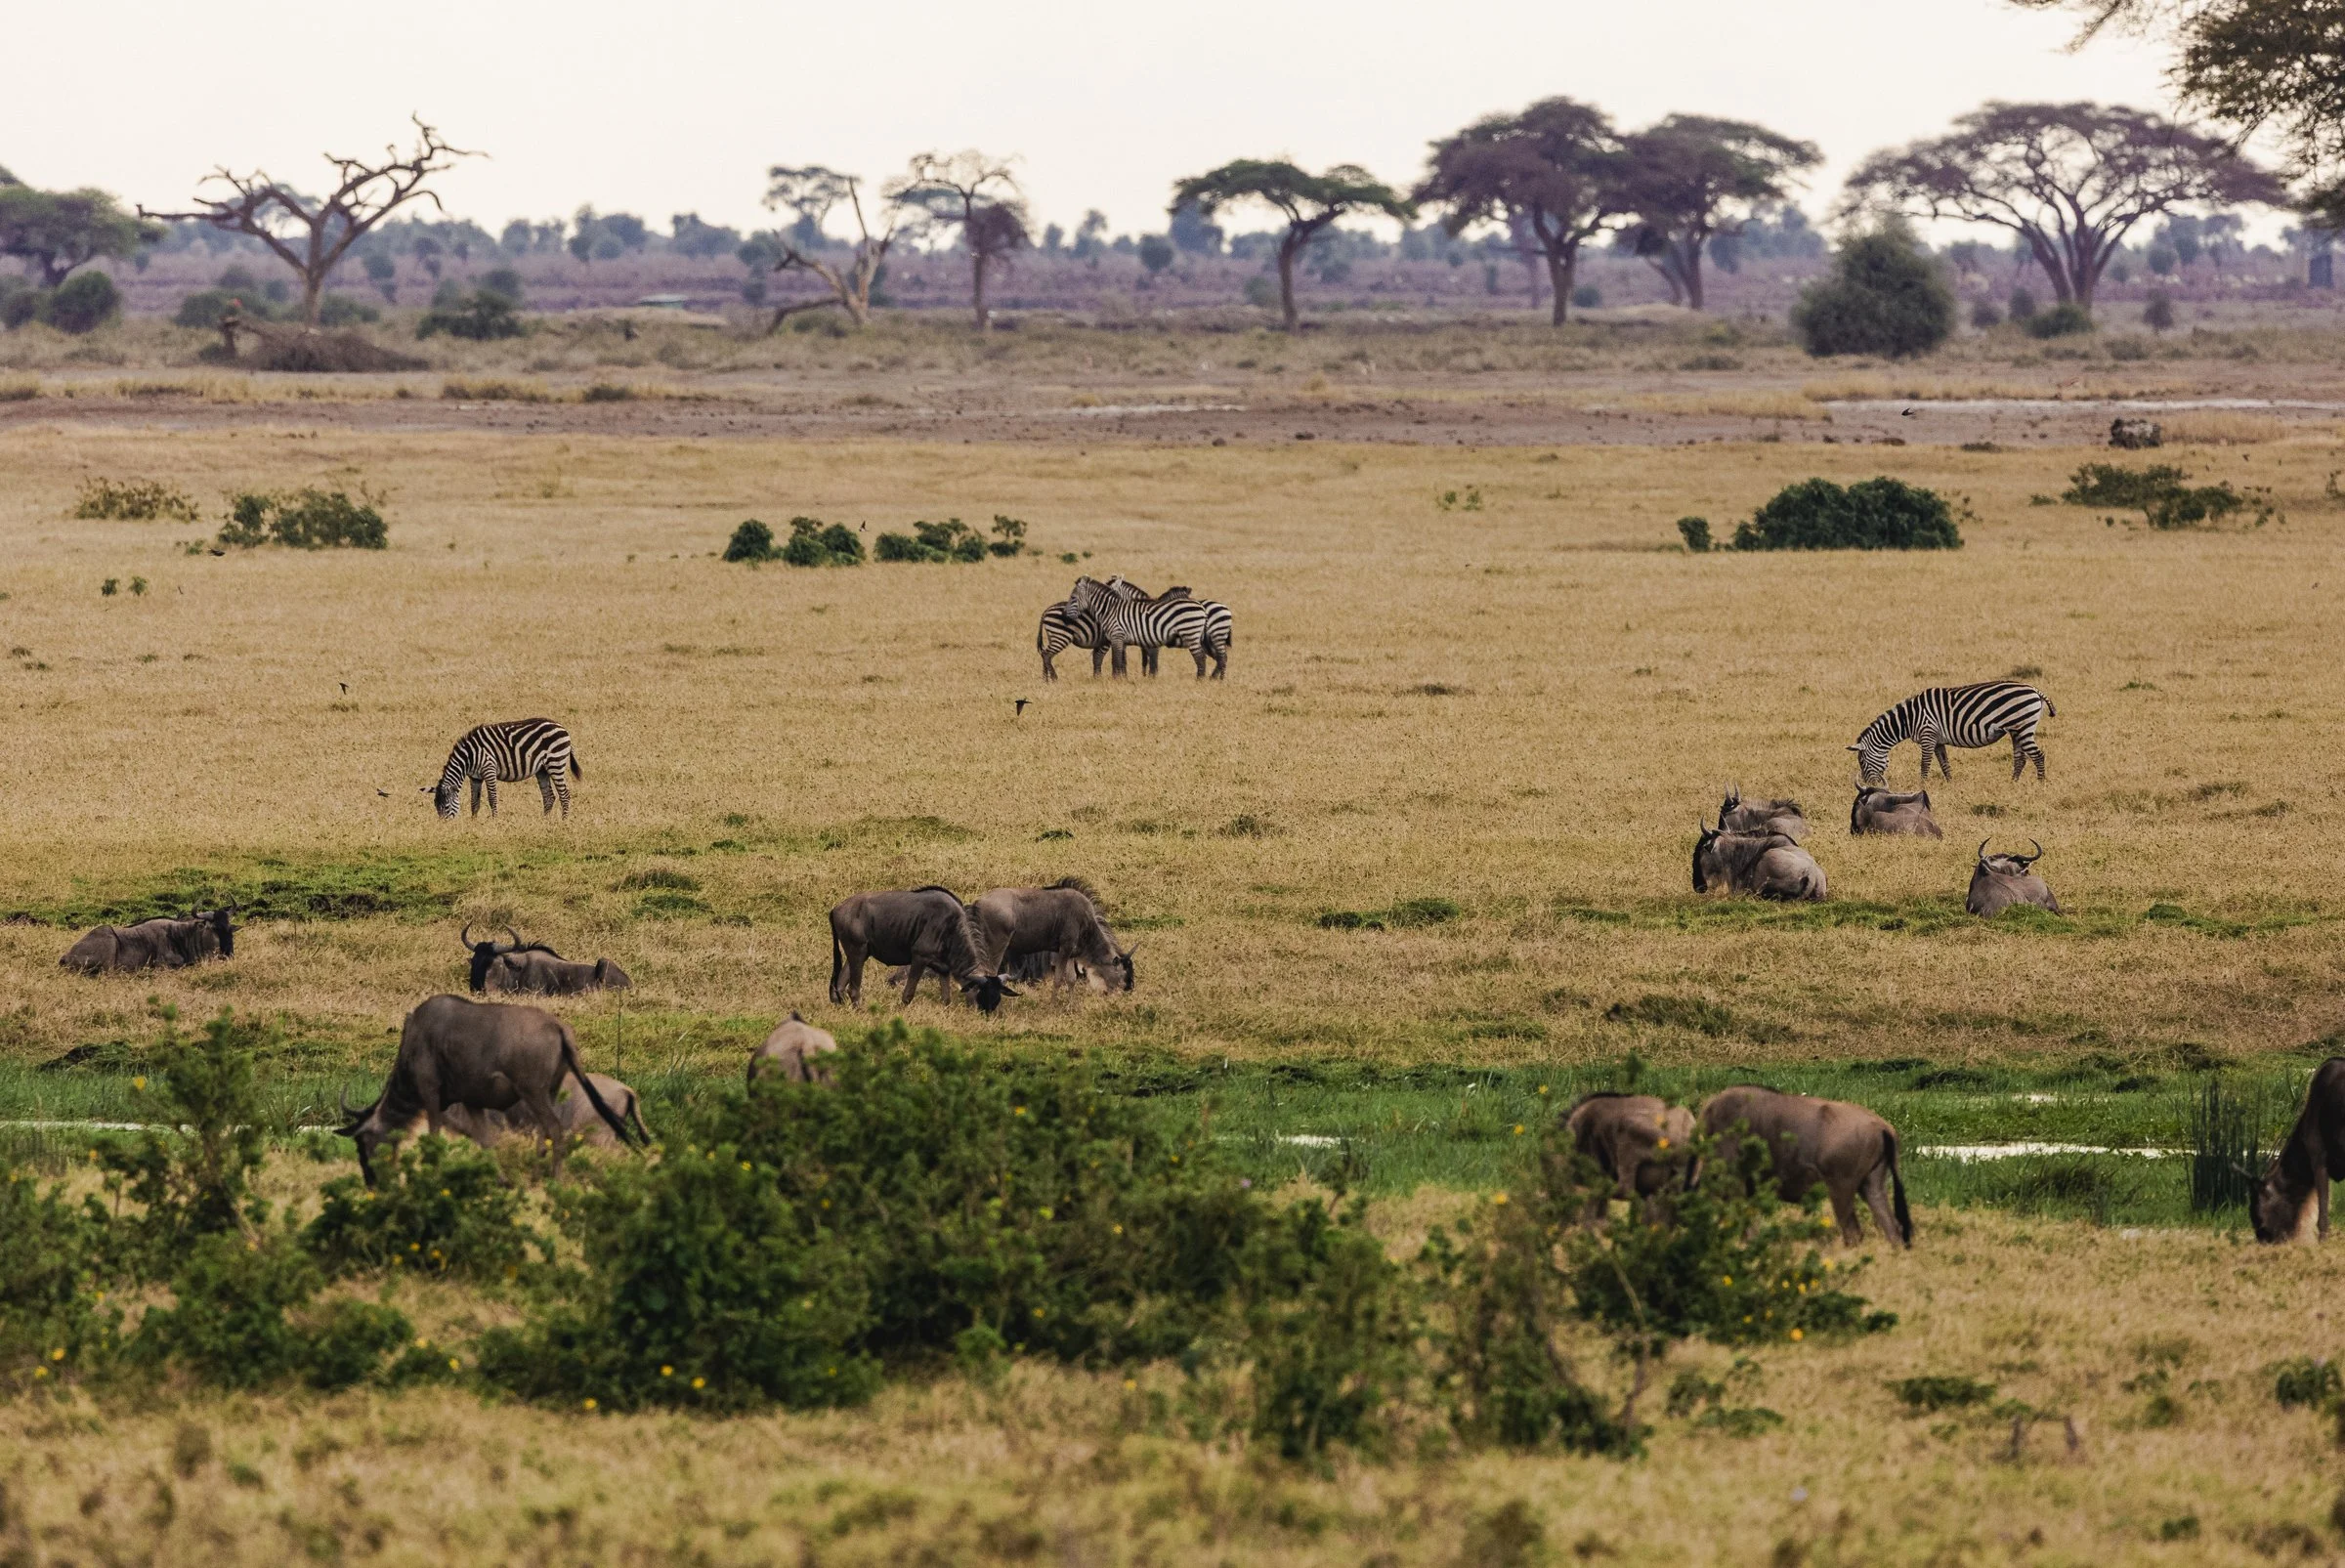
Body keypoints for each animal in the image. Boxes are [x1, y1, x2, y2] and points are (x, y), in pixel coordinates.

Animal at [425, 718, 581, 818]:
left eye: (445, 806)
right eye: (435, 806)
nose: (444, 826)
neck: (469, 756)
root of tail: (562, 727)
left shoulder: (489, 769)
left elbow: (492, 798)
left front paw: (495, 820)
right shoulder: (475, 777)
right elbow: (474, 801)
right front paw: (474, 821)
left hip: (556, 763)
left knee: (564, 795)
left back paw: (564, 821)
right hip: (542, 769)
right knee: (549, 797)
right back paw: (544, 821)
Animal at [1849, 682, 2056, 785]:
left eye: (1862, 762)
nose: (1870, 786)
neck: (1909, 718)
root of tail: (2034, 689)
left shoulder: (1928, 734)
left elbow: (1925, 763)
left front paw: (1922, 785)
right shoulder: (1937, 740)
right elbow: (1944, 763)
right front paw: (1950, 784)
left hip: (2023, 727)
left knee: (2038, 755)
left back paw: (2040, 784)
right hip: (2016, 731)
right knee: (2020, 758)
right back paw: (2013, 783)